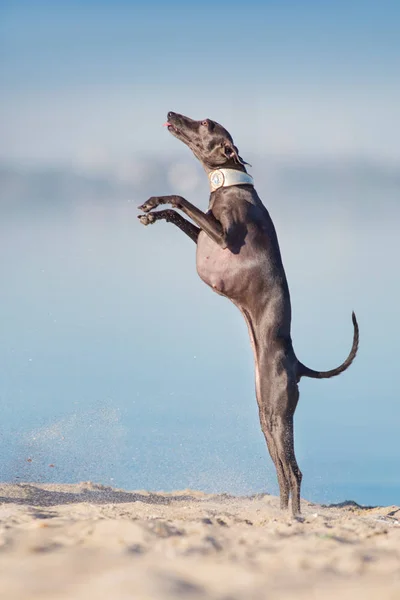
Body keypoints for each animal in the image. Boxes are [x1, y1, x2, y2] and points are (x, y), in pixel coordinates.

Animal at [138, 113, 360, 516]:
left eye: (205, 122)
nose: (172, 114)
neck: (231, 188)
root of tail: (297, 362)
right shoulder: (203, 233)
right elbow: (179, 215)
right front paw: (152, 212)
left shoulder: (226, 236)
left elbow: (181, 199)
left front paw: (157, 200)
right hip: (265, 419)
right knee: (282, 472)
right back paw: (281, 513)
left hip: (278, 412)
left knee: (294, 472)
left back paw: (294, 518)